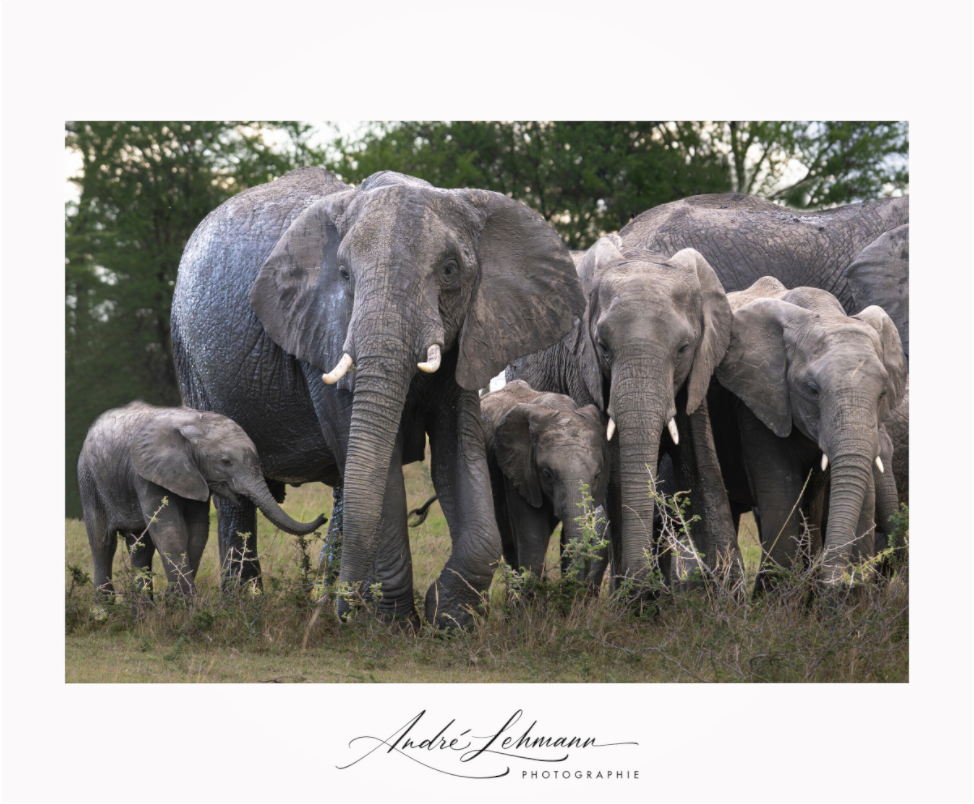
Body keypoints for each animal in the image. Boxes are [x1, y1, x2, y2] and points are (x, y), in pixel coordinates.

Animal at [77, 402, 326, 603]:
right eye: (226, 462)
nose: (323, 516)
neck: (194, 422)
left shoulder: (195, 476)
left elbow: (197, 531)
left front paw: (173, 600)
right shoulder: (145, 473)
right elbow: (170, 530)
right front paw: (182, 602)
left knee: (140, 547)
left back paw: (143, 611)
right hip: (88, 480)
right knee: (102, 542)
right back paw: (105, 610)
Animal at [171, 167, 584, 629]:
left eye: (450, 270)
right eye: (344, 275)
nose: (343, 610)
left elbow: (457, 451)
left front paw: (450, 619)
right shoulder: (323, 331)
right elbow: (375, 461)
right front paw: (393, 626)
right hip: (190, 357)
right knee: (237, 496)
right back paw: (252, 604)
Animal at [508, 235, 741, 595]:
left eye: (683, 349)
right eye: (603, 347)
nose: (643, 586)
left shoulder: (698, 373)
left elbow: (702, 466)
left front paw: (729, 592)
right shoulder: (583, 369)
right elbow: (616, 470)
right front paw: (635, 597)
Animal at [707, 277, 907, 592]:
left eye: (883, 393)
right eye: (812, 390)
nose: (837, 583)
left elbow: (814, 495)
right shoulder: (757, 402)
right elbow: (781, 491)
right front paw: (776, 598)